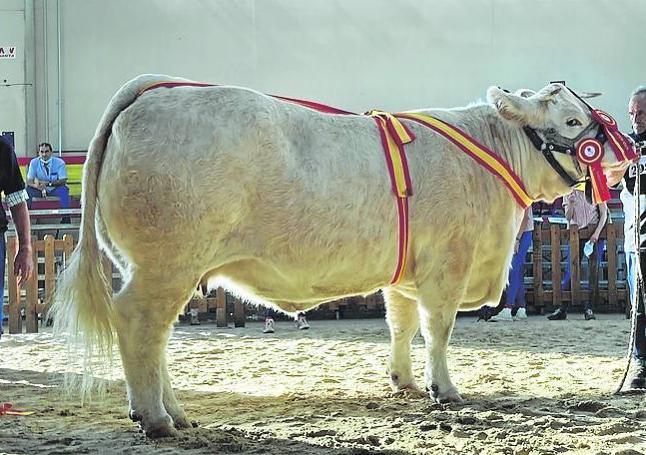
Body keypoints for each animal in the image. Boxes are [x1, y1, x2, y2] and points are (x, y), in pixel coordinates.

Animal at [53, 75, 632, 438]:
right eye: (575, 122)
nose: (624, 151)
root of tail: (151, 91)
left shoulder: (406, 272)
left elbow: (401, 324)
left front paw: (403, 381)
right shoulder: (448, 265)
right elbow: (438, 330)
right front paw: (444, 389)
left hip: (158, 265)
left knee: (156, 336)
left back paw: (175, 412)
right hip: (167, 261)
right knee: (139, 324)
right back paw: (154, 418)